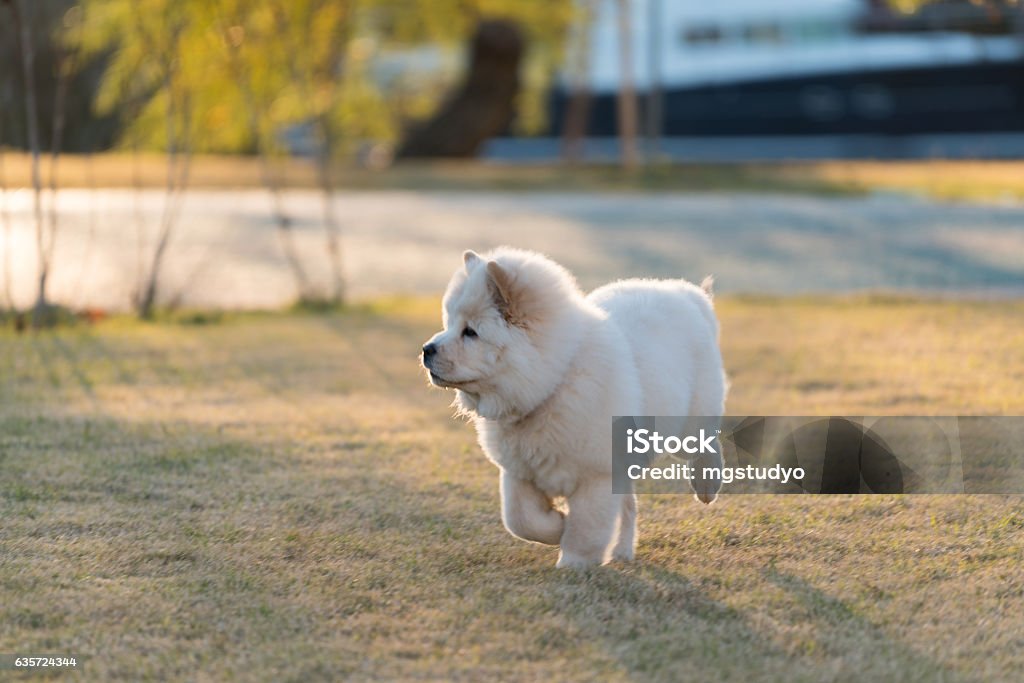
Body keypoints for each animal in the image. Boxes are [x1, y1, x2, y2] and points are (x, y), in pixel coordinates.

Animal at [419, 248, 724, 569]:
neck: (553, 385)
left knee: (705, 441)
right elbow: (521, 520)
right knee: (629, 506)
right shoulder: (519, 473)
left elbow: (585, 529)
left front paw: (573, 562)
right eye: (449, 323)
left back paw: (706, 487)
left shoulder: (596, 476)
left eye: (471, 332)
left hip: (686, 424)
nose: (427, 349)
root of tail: (687, 294)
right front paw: (557, 526)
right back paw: (622, 551)